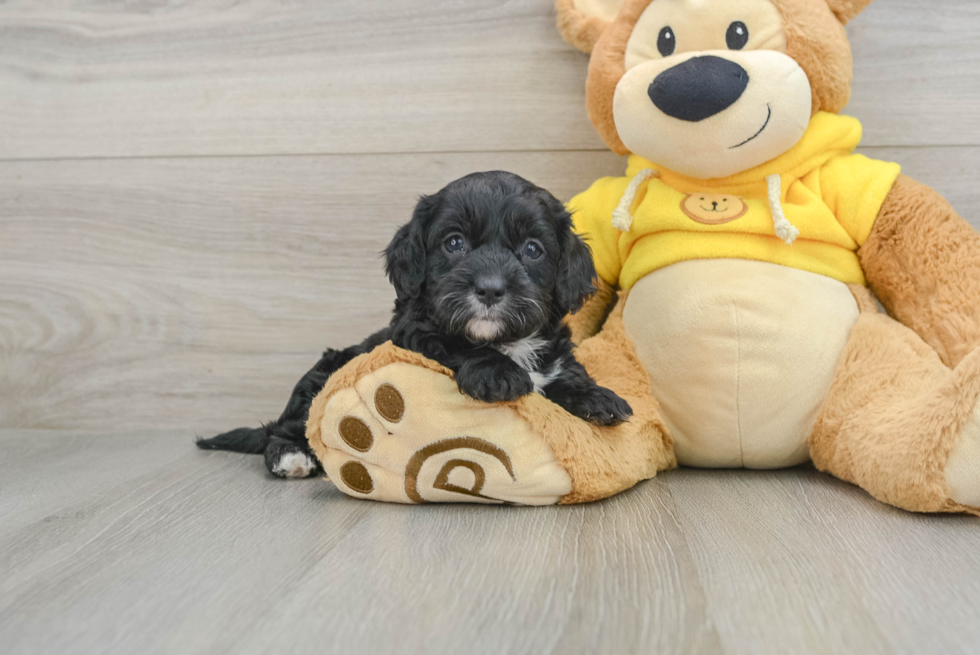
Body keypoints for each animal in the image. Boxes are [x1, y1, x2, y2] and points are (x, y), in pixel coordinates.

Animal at [195, 174, 632, 480]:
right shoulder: (417, 333)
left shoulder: (553, 352)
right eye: (454, 243)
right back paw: (291, 457)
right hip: (320, 377)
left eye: (532, 249)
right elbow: (457, 343)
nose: (490, 288)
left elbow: (566, 373)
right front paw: (497, 373)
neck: (508, 342)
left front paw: (598, 397)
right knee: (282, 428)